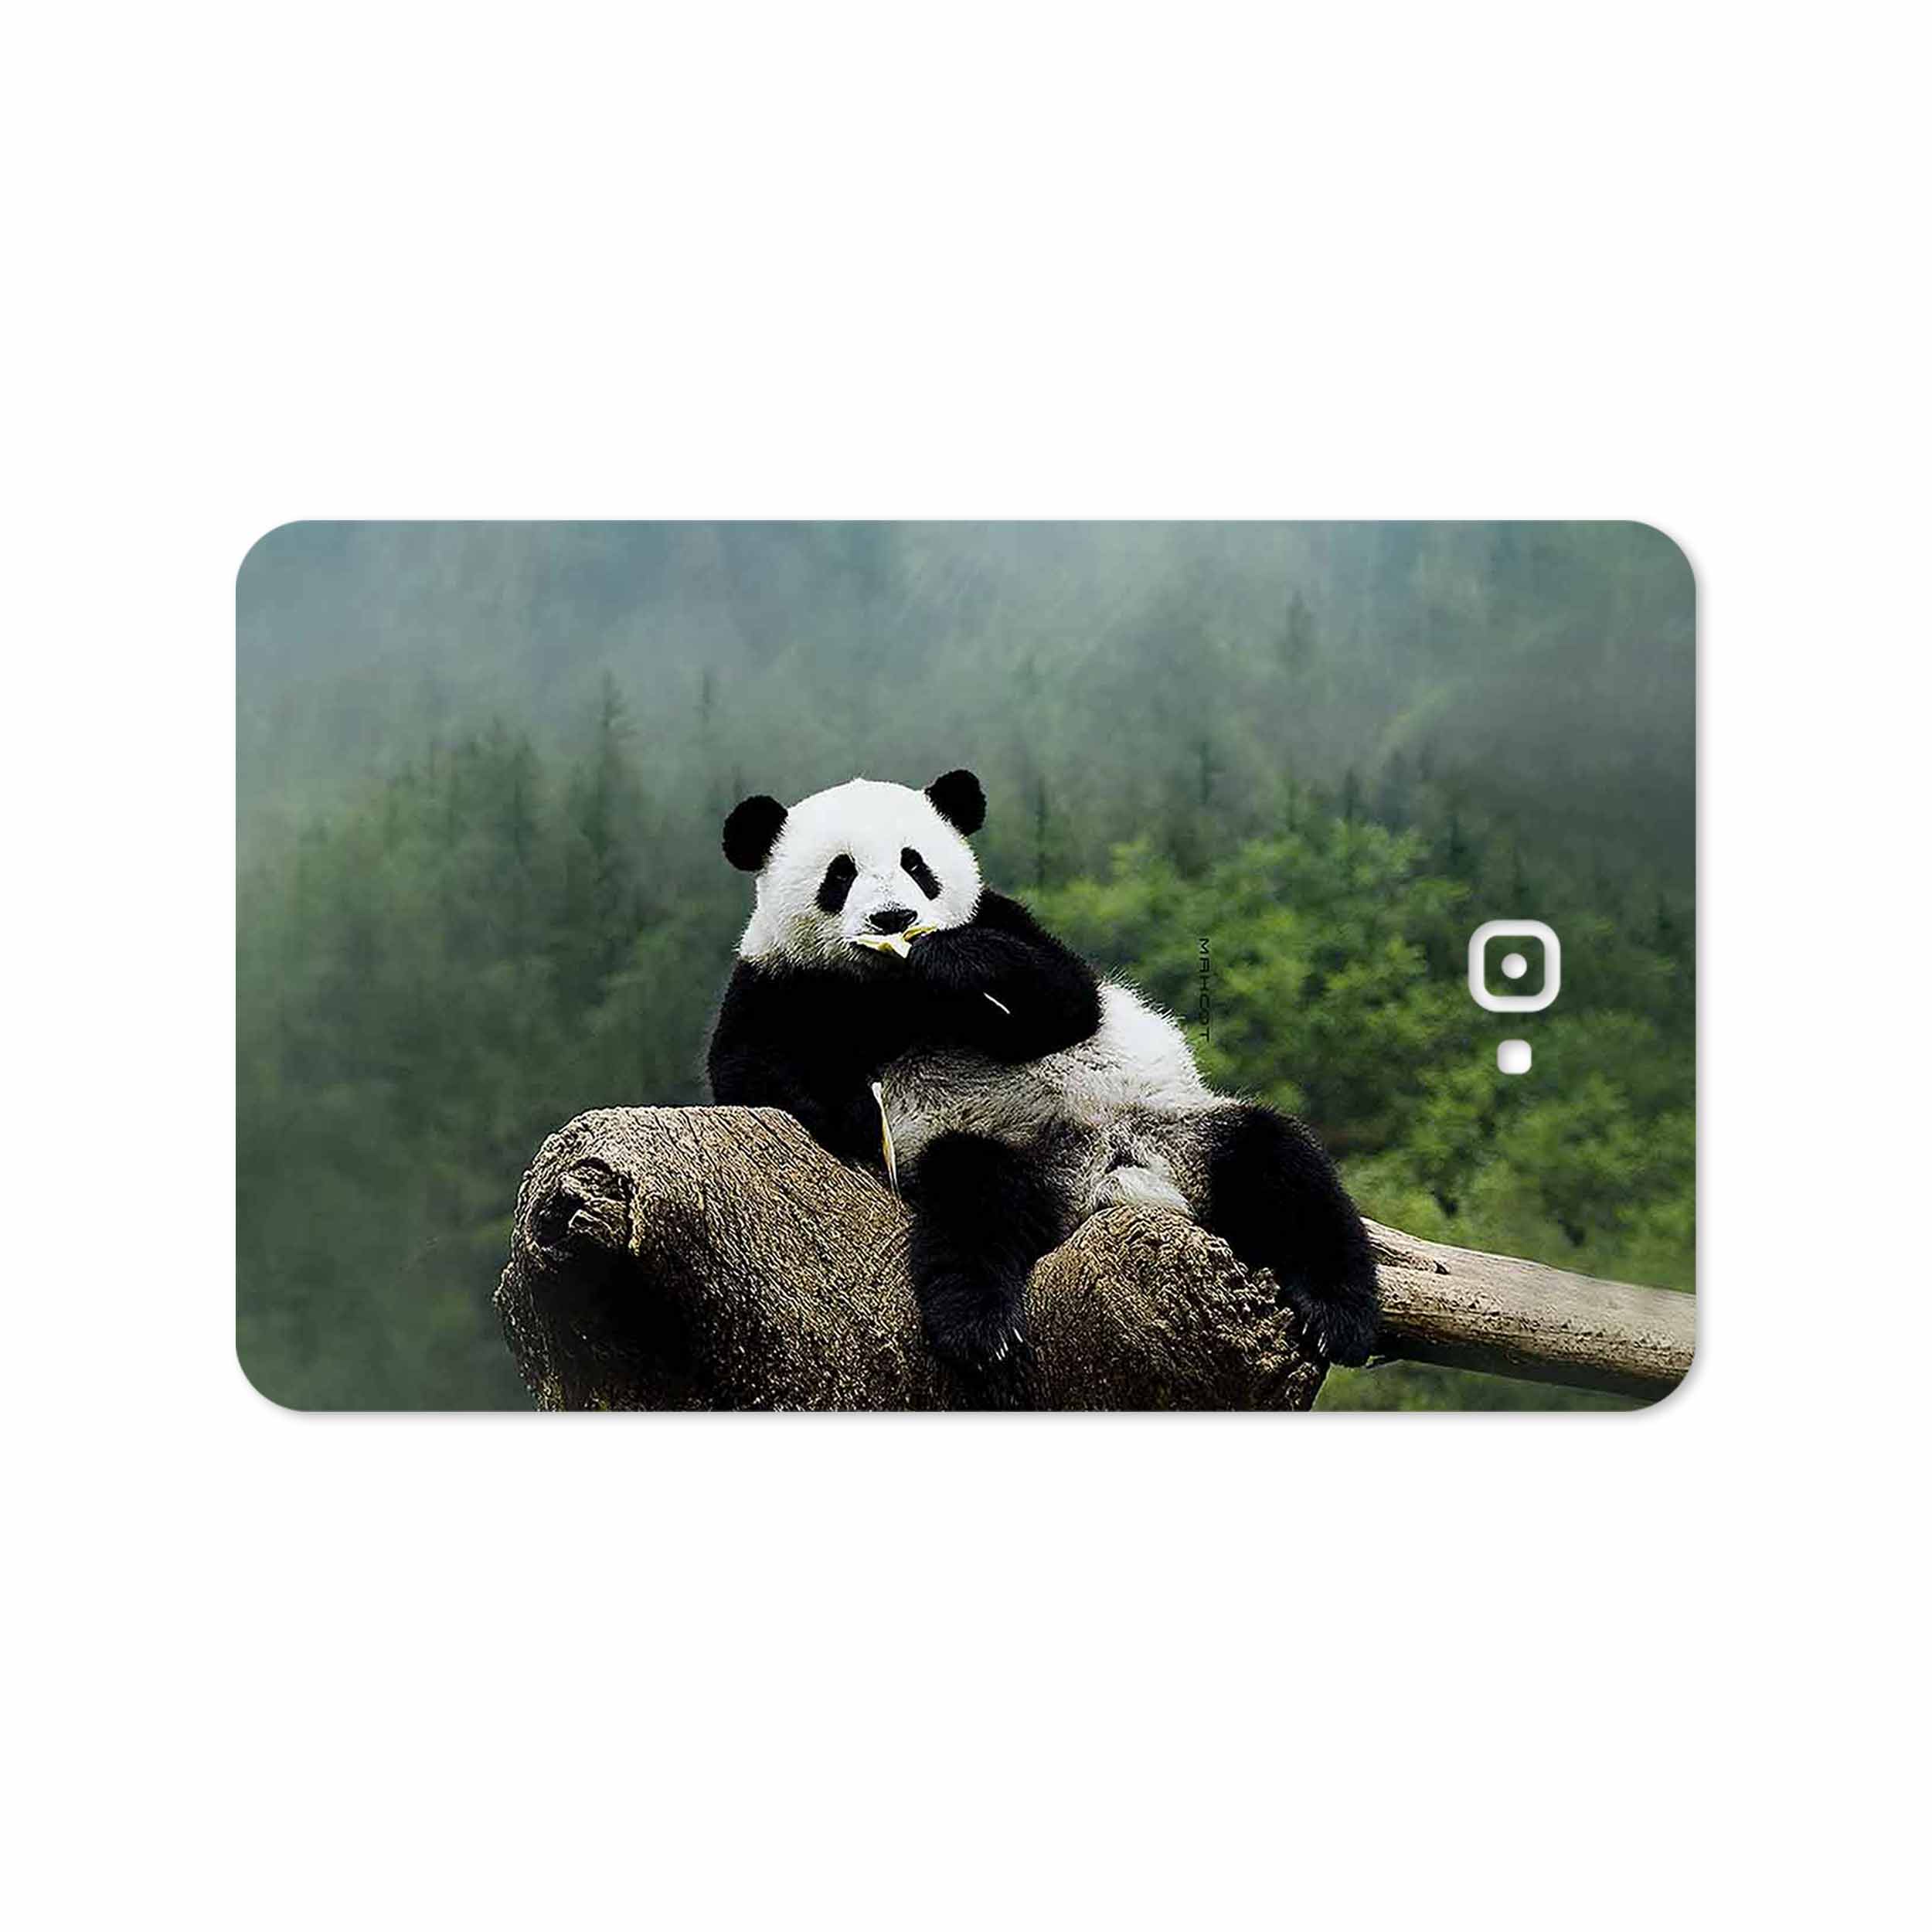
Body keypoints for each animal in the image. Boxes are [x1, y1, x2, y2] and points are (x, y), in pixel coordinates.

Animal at [706, 768, 1380, 1383]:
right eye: (840, 874)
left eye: (915, 863)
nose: (894, 918)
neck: (891, 991)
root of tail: (1105, 1178)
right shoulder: (777, 982)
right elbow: (750, 1073)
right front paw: (855, 1112)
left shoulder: (1004, 920)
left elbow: (1067, 999)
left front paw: (951, 961)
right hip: (1000, 1149)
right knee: (973, 1201)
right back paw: (980, 1328)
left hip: (1177, 1127)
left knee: (1282, 1165)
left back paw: (1338, 1316)